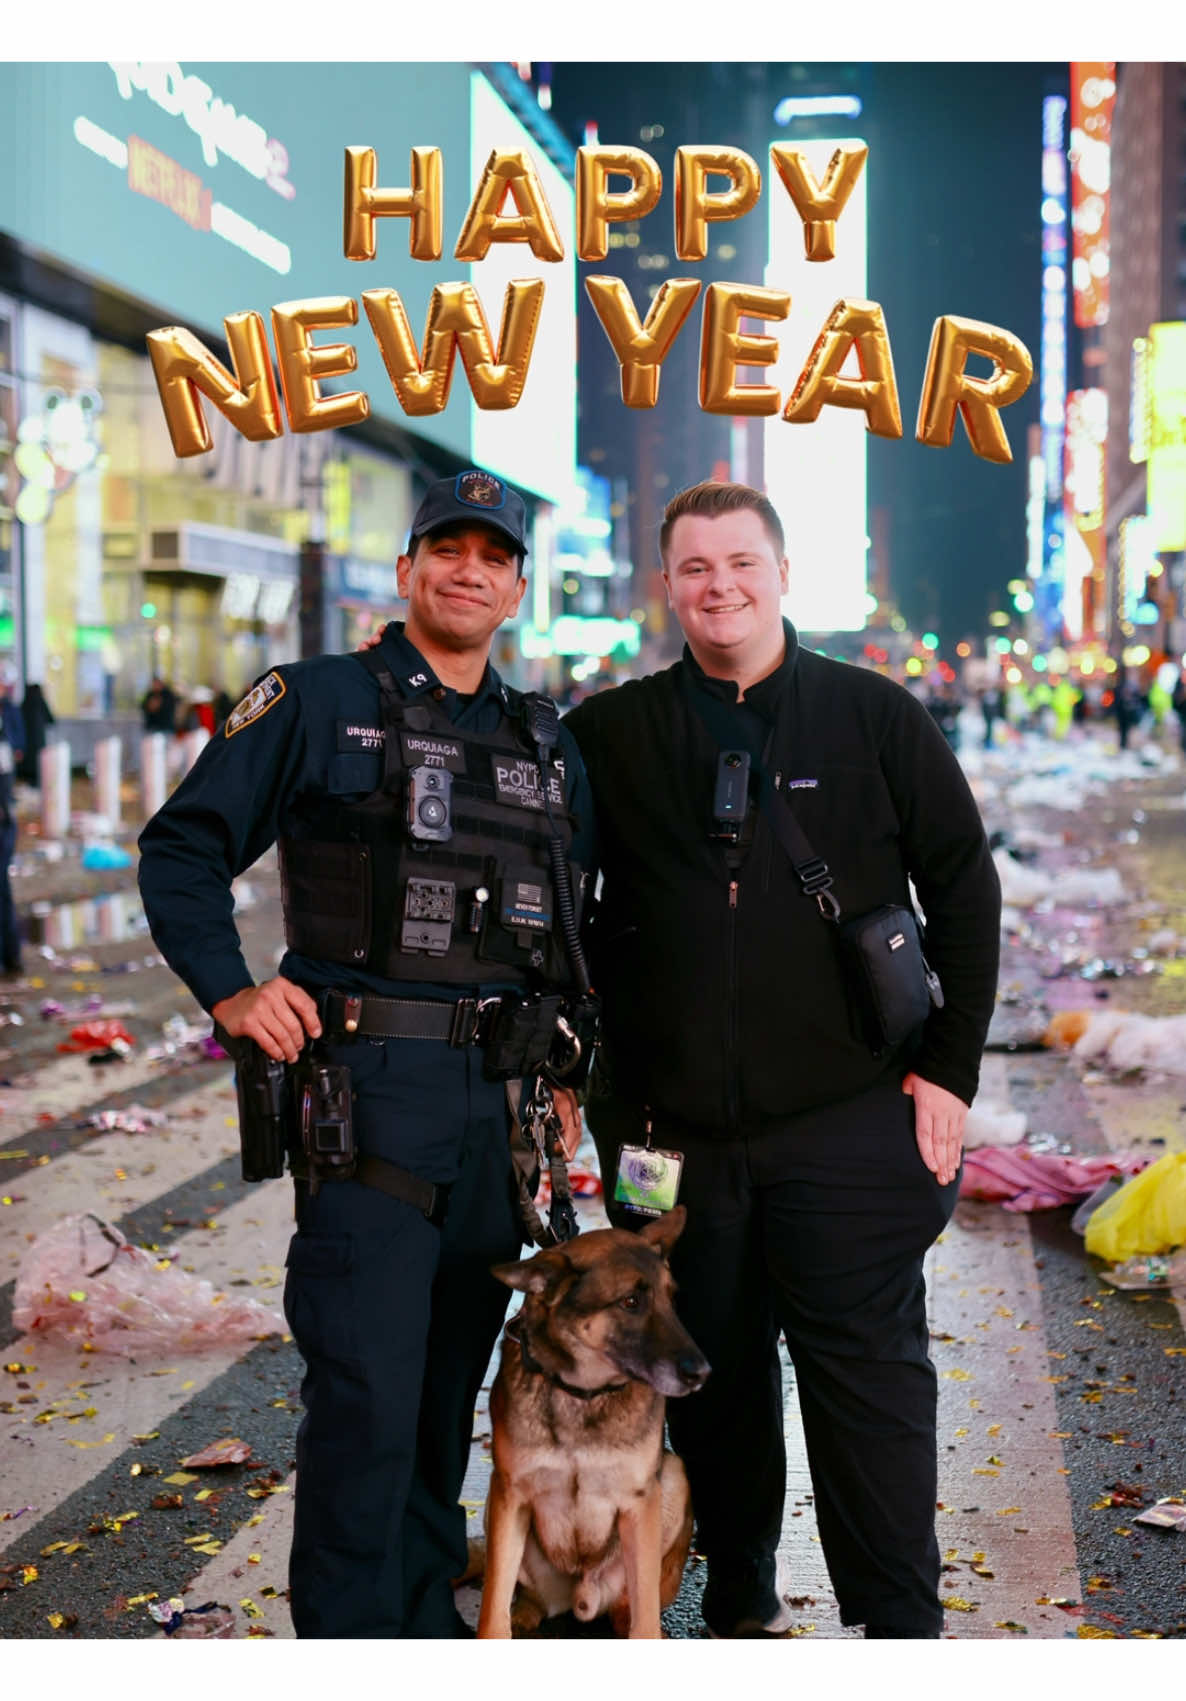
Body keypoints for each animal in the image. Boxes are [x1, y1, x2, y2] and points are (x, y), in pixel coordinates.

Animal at [473, 1204, 711, 1639]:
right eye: (631, 1301)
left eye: (672, 1299)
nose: (703, 1374)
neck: (582, 1393)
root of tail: (580, 1598)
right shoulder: (509, 1494)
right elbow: (493, 1608)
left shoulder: (639, 1503)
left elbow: (645, 1619)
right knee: (527, 1600)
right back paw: (525, 1614)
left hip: (673, 1479)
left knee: (631, 1609)